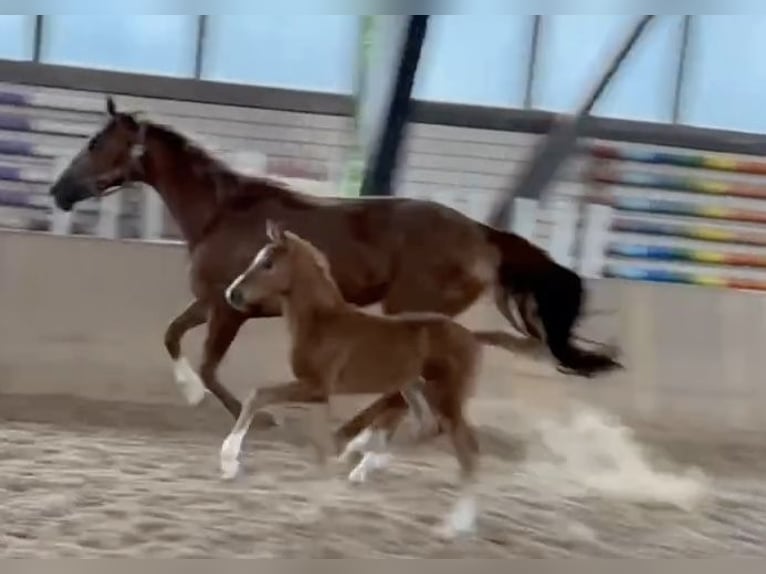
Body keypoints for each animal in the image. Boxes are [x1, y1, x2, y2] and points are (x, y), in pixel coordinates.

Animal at [48, 97, 624, 428]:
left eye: (96, 142)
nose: (58, 191)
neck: (221, 212)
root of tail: (483, 235)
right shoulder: (215, 299)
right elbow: (171, 336)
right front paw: (190, 394)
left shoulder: (231, 310)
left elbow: (210, 365)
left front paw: (261, 421)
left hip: (410, 309)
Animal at [219, 222, 512, 540]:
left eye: (268, 264)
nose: (232, 294)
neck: (323, 322)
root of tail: (474, 337)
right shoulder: (319, 394)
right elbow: (319, 445)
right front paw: (315, 504)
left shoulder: (316, 386)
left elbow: (258, 395)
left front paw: (229, 462)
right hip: (413, 388)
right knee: (425, 428)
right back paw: (365, 457)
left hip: (446, 397)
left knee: (468, 451)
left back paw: (452, 525)